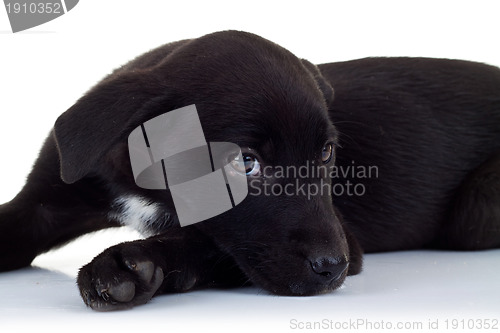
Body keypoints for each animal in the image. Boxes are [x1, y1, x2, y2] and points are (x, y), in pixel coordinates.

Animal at [0, 29, 500, 310]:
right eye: (245, 161)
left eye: (326, 153)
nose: (333, 269)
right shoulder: (44, 202)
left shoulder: (344, 239)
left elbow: (206, 242)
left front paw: (132, 264)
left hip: (475, 211)